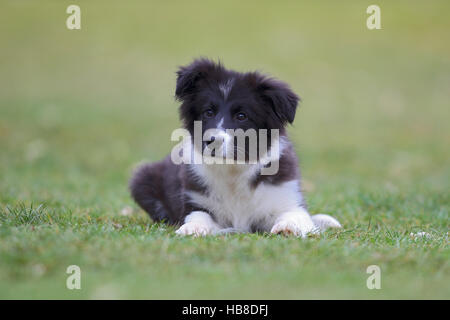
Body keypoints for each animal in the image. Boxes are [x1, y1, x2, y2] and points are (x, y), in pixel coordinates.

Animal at [130, 58, 342, 236]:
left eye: (242, 116)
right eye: (208, 112)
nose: (211, 140)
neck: (232, 169)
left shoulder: (285, 197)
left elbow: (296, 215)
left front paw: (288, 227)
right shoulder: (194, 199)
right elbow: (198, 216)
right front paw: (192, 228)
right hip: (142, 177)